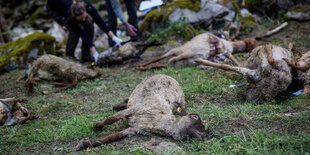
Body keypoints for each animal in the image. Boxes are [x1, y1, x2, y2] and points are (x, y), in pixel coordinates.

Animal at [75, 74, 206, 151]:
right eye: (195, 117)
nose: (203, 136)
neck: (157, 120)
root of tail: (169, 76)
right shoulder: (135, 109)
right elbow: (111, 119)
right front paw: (97, 127)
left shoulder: (134, 129)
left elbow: (112, 137)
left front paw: (84, 144)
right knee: (125, 104)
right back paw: (117, 105)